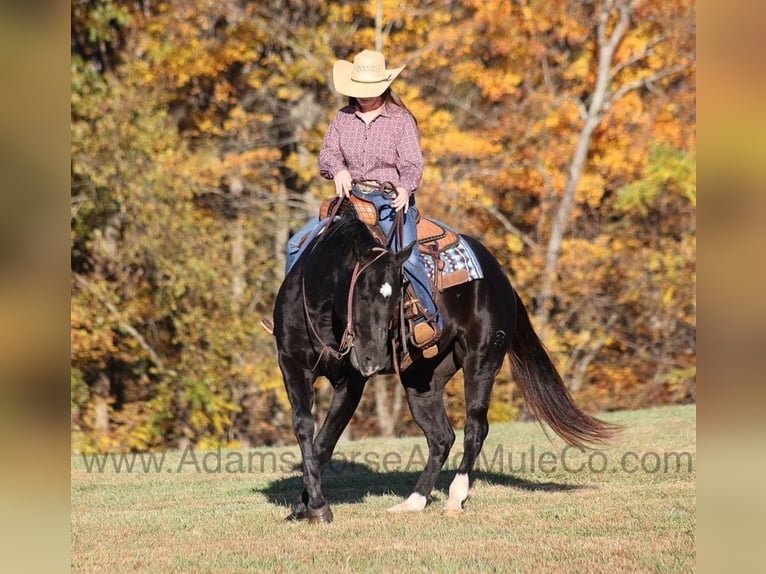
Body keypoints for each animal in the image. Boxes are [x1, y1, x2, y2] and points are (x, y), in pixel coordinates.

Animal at [272, 213, 620, 528]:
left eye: (396, 298)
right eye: (362, 293)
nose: (373, 359)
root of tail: (499, 276)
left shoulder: (351, 382)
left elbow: (325, 441)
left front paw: (317, 508)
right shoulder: (291, 365)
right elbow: (305, 430)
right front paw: (303, 507)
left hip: (481, 361)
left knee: (475, 428)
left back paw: (454, 498)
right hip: (422, 382)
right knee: (441, 437)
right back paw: (413, 502)